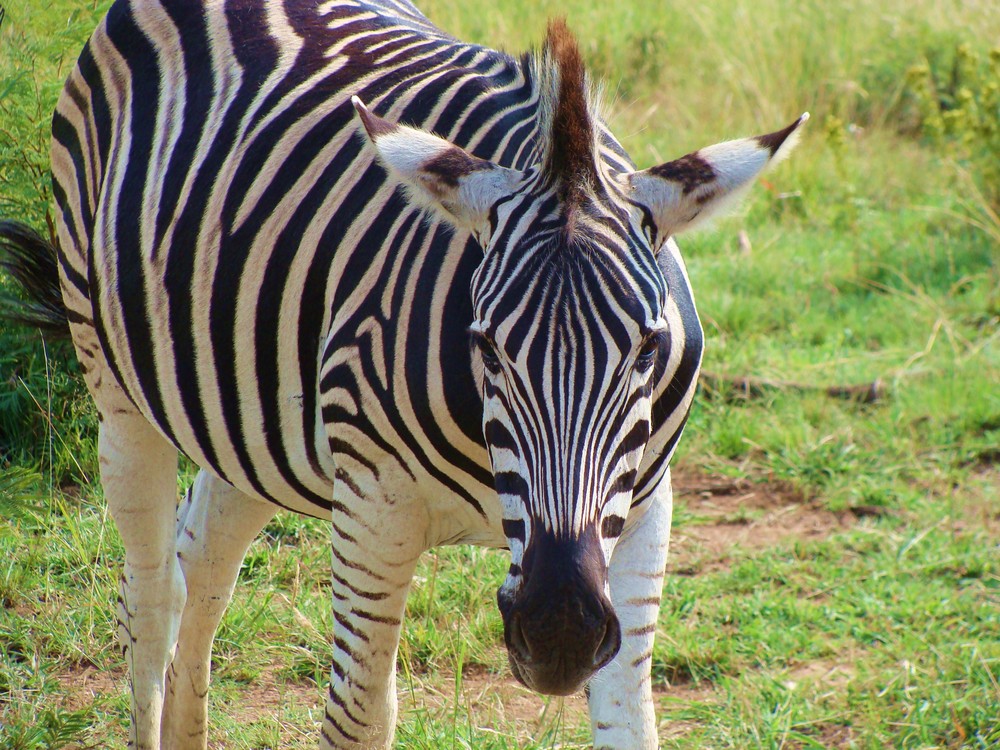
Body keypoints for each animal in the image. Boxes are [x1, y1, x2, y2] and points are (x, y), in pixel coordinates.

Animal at [0, 0, 800, 748]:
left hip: (245, 417)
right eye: (486, 347)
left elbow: (632, 725)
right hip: (117, 386)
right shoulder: (371, 510)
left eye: (646, 350)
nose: (560, 631)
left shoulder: (643, 504)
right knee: (152, 591)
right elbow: (359, 719)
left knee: (204, 562)